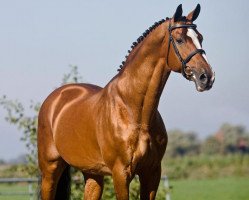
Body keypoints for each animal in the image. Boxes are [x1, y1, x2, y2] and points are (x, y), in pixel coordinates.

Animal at [37, 3, 214, 200]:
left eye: (200, 38)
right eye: (180, 39)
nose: (206, 77)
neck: (134, 111)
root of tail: (55, 98)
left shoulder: (152, 173)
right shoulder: (121, 173)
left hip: (92, 173)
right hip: (50, 170)